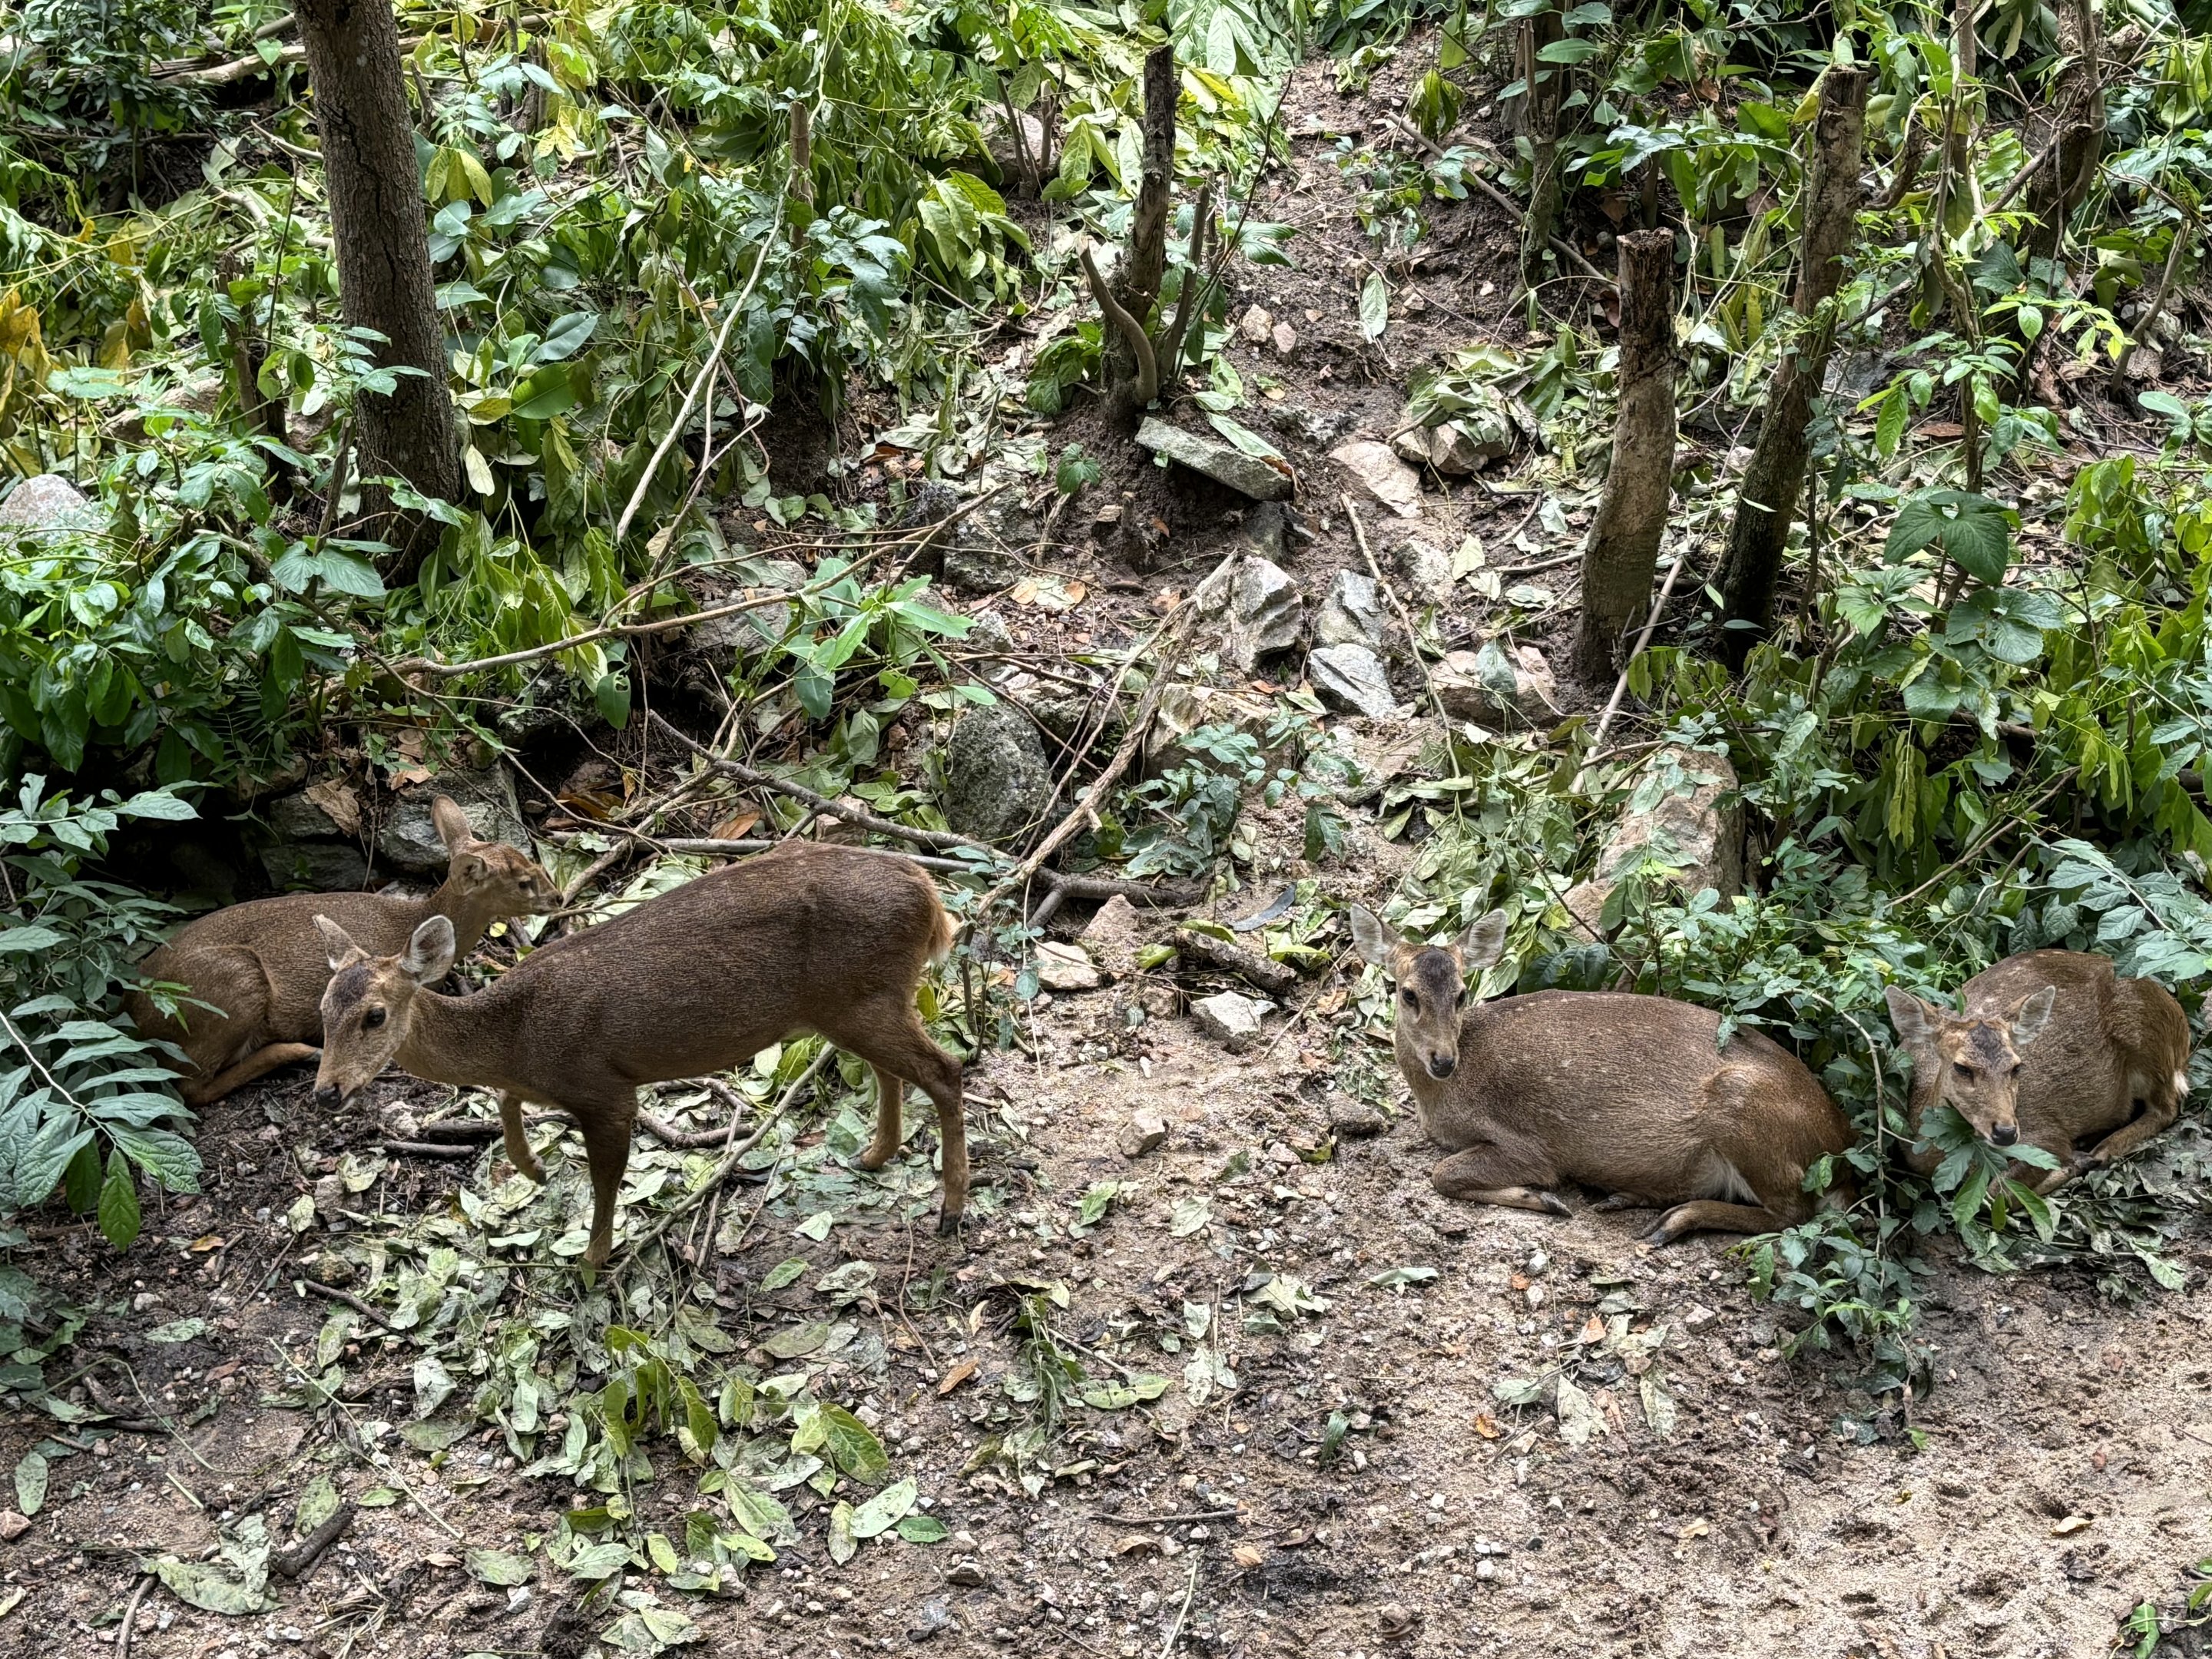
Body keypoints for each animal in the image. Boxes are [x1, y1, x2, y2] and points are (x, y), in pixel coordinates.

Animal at [130, 797, 558, 1107]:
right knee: (190, 1087)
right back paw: (302, 1051)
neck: (411, 920)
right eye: (523, 881)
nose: (557, 896)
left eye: (532, 862)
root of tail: (131, 1012)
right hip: (234, 983)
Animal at [309, 841, 966, 1267]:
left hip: (863, 997)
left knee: (946, 1069)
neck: (516, 1037)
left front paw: (592, 1261)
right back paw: (874, 1154)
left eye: (375, 1015)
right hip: (857, 1002)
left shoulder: (603, 1087)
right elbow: (505, 1102)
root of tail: (931, 899)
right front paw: (533, 1168)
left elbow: (605, 1180)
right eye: (321, 1011)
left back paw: (951, 1208)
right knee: (892, 1070)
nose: (326, 1091)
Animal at [1350, 905, 1855, 1242]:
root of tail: (1839, 1143)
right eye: (1408, 993)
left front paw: (1546, 1200)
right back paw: (1628, 1199)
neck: (1440, 1103)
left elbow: (1444, 1174)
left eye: (1460, 993)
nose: (1443, 1060)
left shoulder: (1530, 1146)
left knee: (1793, 1214)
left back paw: (1669, 1221)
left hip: (1744, 1106)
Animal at [1884, 949, 2192, 1195]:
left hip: (2148, 1039)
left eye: (2016, 1066)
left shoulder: (2045, 1135)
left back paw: (2099, 1151)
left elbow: (1996, 1191)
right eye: (1961, 1067)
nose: (2006, 1132)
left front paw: (2072, 1165)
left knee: (2167, 1106)